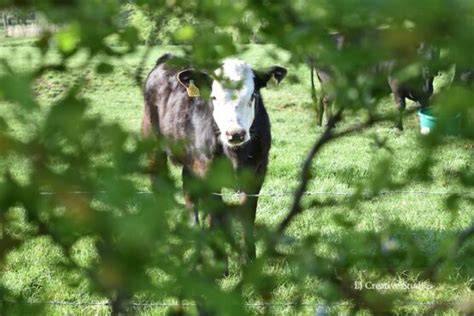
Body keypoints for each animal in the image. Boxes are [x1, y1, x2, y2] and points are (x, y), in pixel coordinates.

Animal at [143, 54, 286, 264]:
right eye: (214, 97)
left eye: (253, 95)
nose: (235, 134)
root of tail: (168, 58)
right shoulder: (209, 175)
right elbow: (216, 218)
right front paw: (220, 263)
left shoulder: (257, 173)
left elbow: (247, 216)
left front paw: (249, 260)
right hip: (153, 144)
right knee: (158, 184)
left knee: (188, 191)